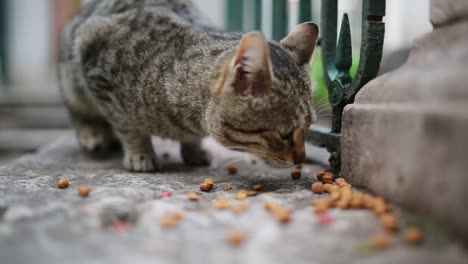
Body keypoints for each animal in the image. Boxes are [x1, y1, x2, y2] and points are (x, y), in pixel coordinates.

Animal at [58, 0, 318, 172]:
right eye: (284, 135)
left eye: (309, 127)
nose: (301, 160)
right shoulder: (95, 65)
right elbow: (128, 126)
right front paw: (140, 153)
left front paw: (193, 150)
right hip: (72, 80)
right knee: (77, 112)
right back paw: (93, 134)